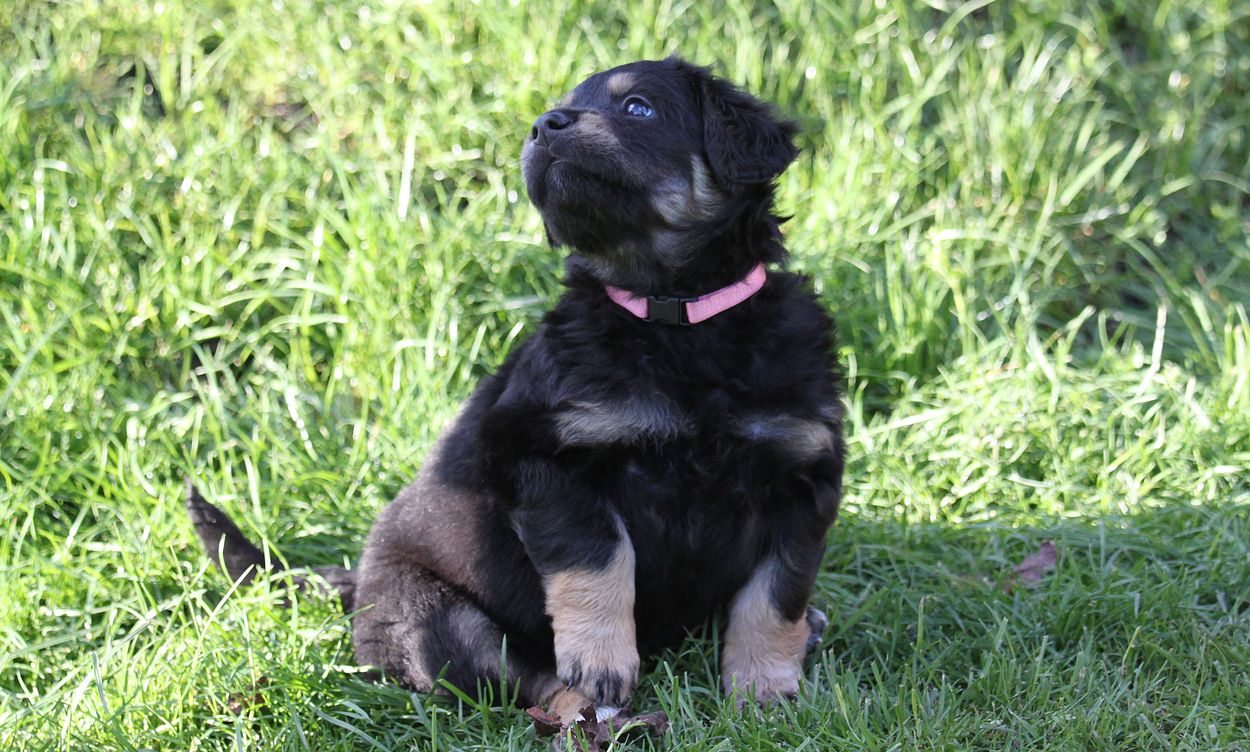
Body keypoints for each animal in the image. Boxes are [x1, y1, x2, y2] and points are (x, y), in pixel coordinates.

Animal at [187, 56, 844, 724]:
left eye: (638, 108)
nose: (544, 124)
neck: (676, 317)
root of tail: (358, 588)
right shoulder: (541, 454)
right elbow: (601, 556)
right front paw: (602, 662)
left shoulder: (803, 476)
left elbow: (774, 597)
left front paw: (764, 691)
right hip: (435, 615)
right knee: (528, 683)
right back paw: (602, 714)